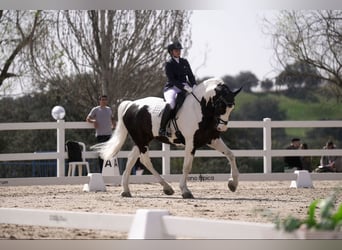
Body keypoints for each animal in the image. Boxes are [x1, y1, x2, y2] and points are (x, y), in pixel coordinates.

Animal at [95, 77, 242, 198]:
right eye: (221, 105)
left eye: (232, 107)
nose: (222, 128)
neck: (200, 109)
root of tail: (131, 105)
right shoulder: (191, 143)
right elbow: (187, 166)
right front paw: (185, 191)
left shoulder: (212, 139)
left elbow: (231, 154)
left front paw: (232, 184)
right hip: (141, 140)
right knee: (145, 160)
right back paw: (167, 188)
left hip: (143, 139)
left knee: (132, 158)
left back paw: (126, 190)